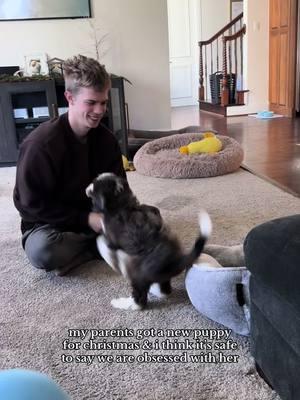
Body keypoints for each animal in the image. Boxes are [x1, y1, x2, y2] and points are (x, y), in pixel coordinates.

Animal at [85, 173, 212, 310]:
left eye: (94, 186)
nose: (87, 188)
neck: (122, 203)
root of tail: (175, 261)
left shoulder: (111, 237)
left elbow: (102, 241)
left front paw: (104, 249)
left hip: (138, 276)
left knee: (140, 300)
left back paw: (121, 303)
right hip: (161, 277)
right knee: (164, 291)